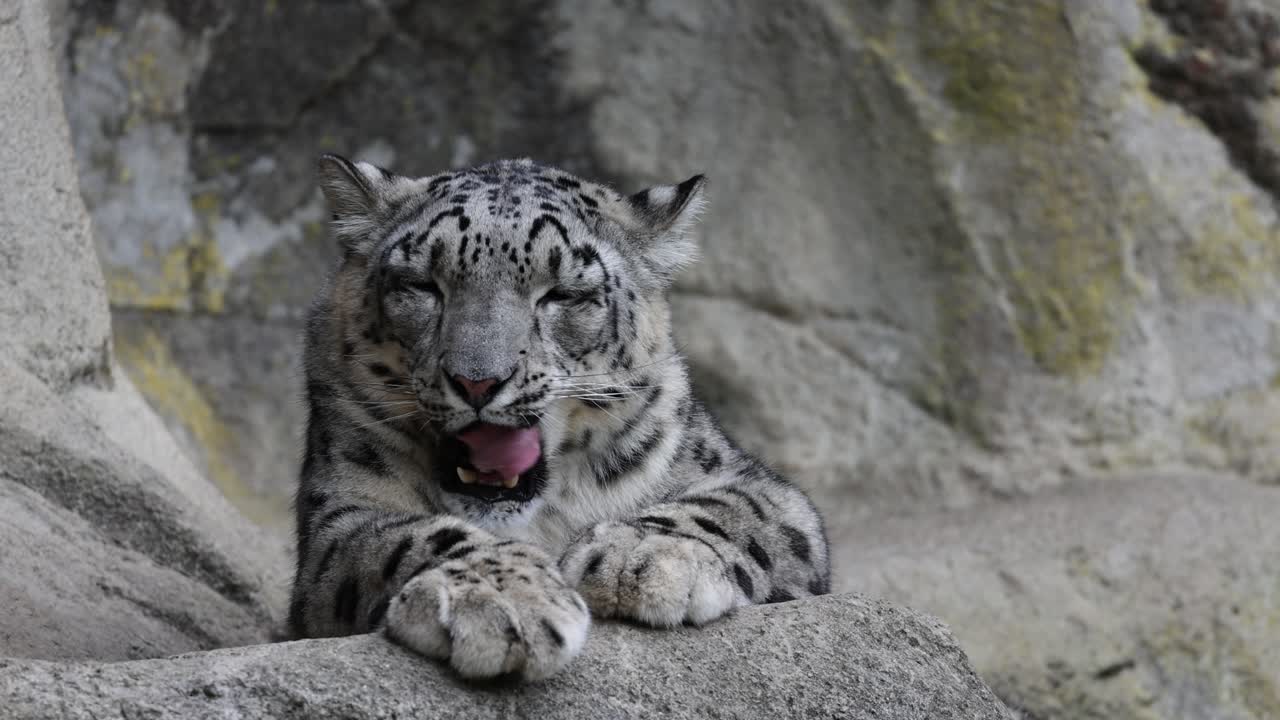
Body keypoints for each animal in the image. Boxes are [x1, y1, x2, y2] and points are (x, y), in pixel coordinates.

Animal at [289, 153, 830, 681]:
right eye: (423, 285)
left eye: (562, 295)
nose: (477, 381)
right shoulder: (338, 518)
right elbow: (399, 537)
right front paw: (500, 595)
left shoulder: (760, 486)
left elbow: (737, 509)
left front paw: (642, 555)